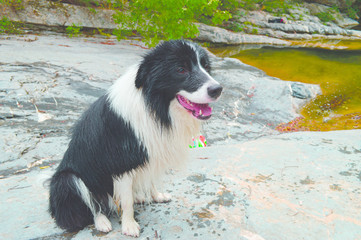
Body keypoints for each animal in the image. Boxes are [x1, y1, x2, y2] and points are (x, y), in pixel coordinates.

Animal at [48, 39, 222, 236]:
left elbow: (150, 180)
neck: (155, 105)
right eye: (181, 69)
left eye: (206, 67)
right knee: (93, 206)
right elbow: (126, 201)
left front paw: (156, 196)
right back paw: (102, 221)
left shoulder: (151, 149)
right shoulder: (121, 163)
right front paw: (129, 225)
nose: (217, 89)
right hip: (66, 180)